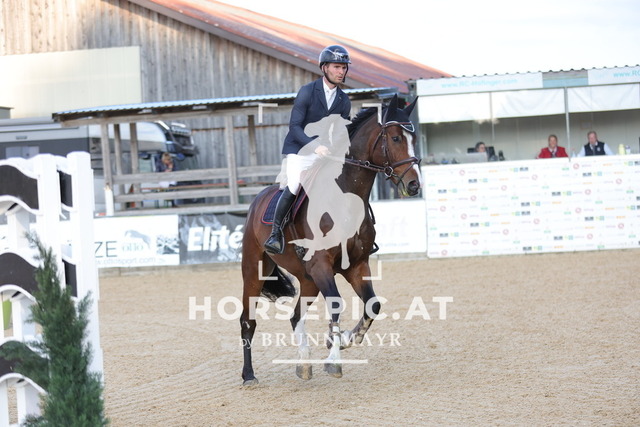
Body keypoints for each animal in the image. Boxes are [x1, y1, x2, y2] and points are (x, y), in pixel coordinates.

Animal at [240, 94, 422, 386]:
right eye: (395, 138)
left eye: (413, 138)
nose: (414, 185)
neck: (344, 199)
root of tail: (258, 199)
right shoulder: (322, 264)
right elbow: (336, 305)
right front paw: (334, 360)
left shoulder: (356, 265)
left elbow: (373, 305)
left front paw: (346, 339)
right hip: (255, 272)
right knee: (248, 320)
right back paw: (249, 375)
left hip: (308, 280)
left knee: (295, 316)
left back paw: (304, 364)